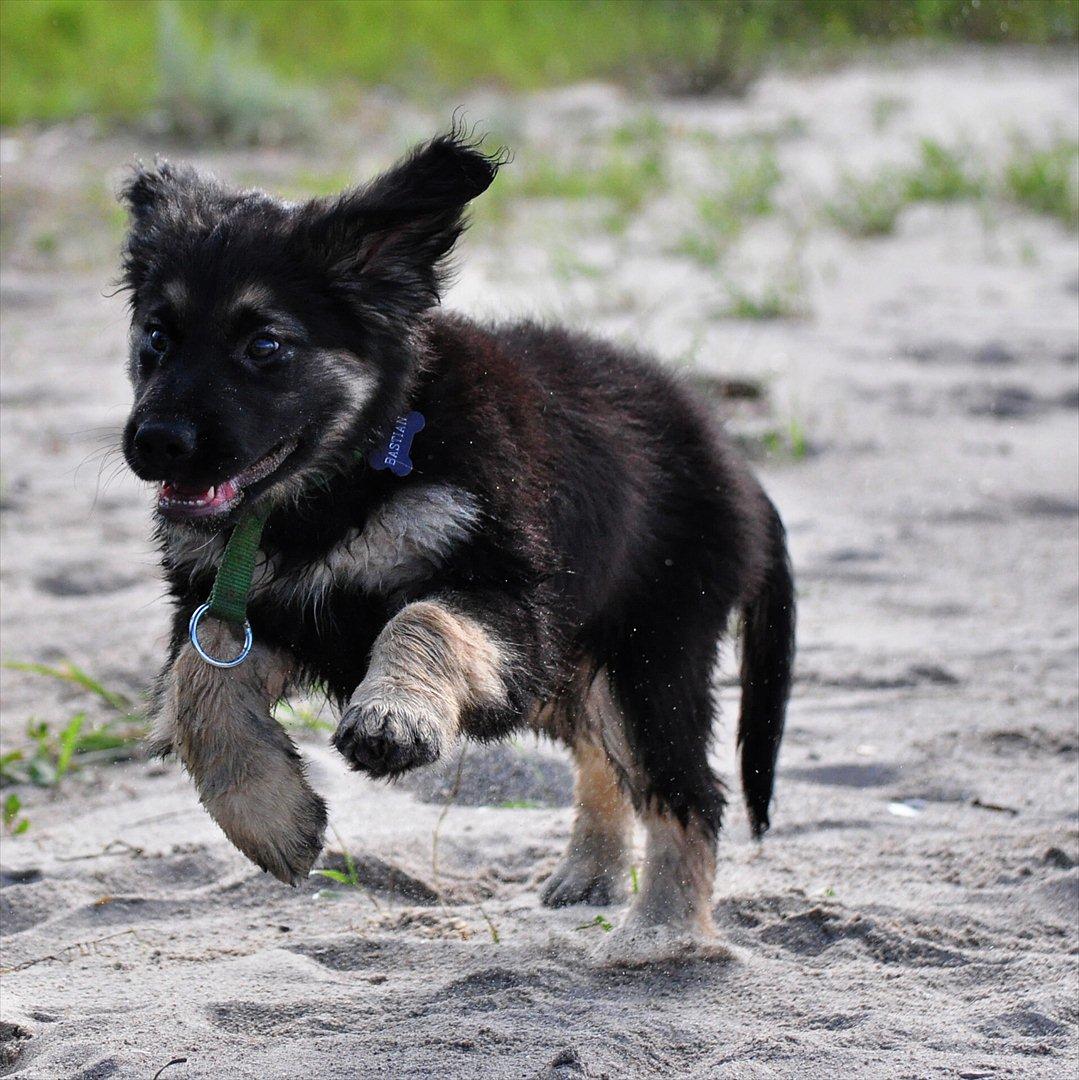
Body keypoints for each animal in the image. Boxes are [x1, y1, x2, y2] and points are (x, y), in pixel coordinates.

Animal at [120, 126, 794, 963]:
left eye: (266, 345)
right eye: (156, 336)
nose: (154, 445)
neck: (346, 475)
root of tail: (736, 467)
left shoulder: (506, 602)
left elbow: (422, 619)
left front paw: (394, 715)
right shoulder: (240, 606)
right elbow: (197, 690)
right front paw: (270, 817)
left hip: (649, 656)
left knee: (684, 791)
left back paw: (662, 934)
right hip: (575, 670)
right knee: (603, 758)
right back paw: (592, 870)